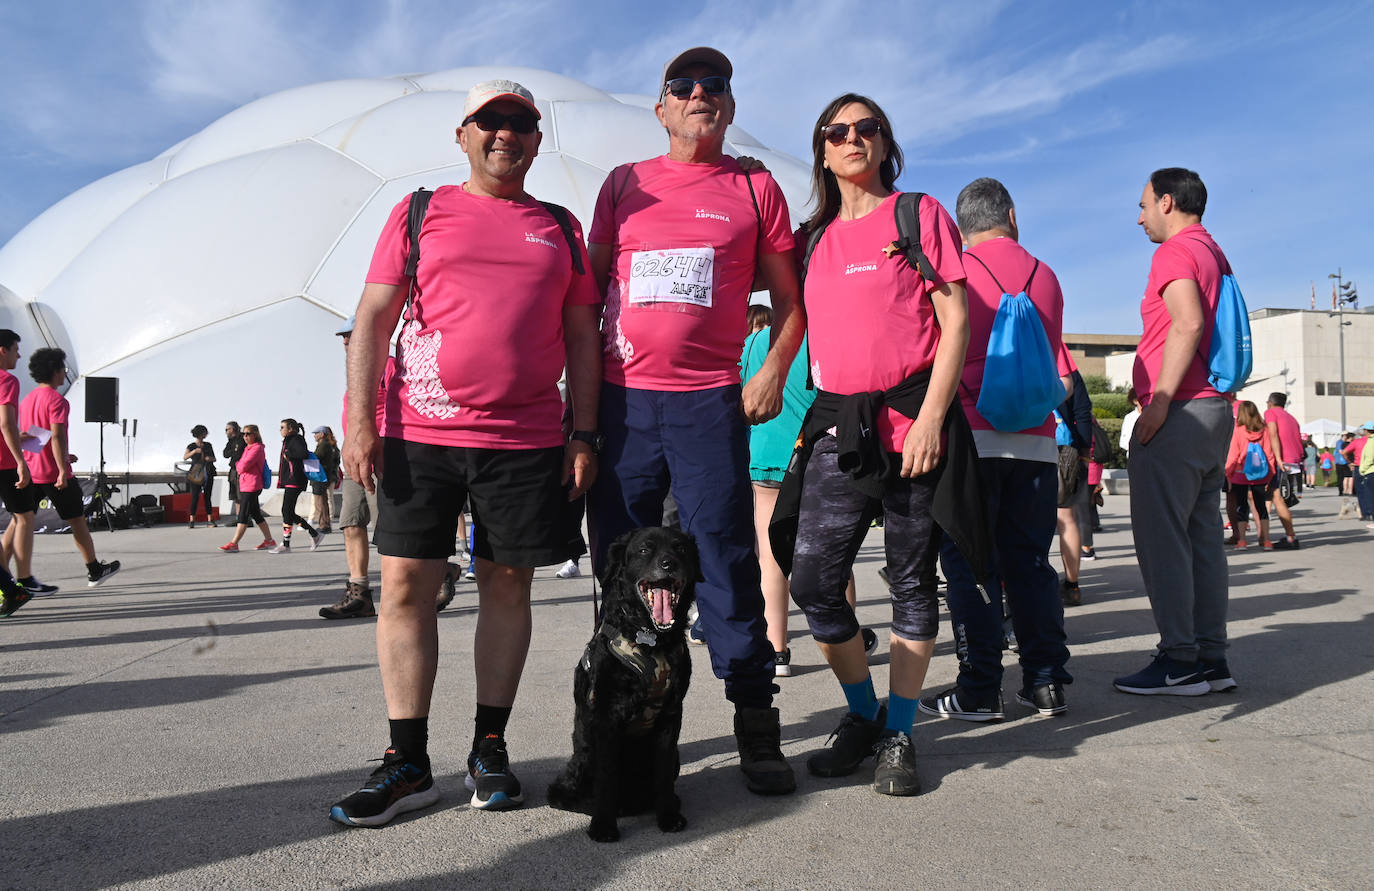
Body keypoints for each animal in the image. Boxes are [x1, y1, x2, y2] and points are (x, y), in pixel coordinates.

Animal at [544, 525, 697, 847]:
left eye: (680, 548)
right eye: (644, 549)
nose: (668, 564)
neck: (651, 639)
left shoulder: (670, 716)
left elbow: (662, 774)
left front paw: (668, 816)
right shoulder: (606, 719)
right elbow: (607, 778)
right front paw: (603, 825)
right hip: (583, 758)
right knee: (564, 795)